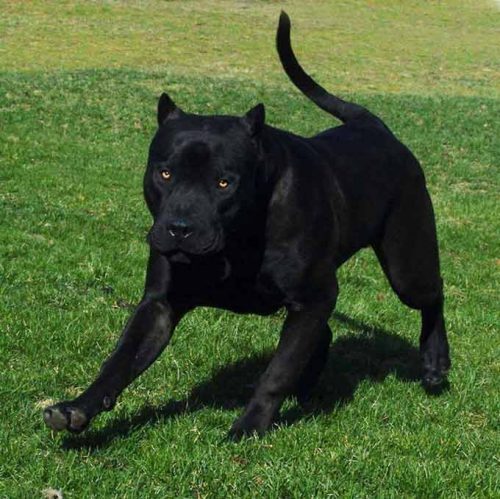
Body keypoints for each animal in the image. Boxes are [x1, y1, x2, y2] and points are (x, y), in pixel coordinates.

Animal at [43, 12, 450, 442]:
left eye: (224, 182)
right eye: (165, 173)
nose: (179, 228)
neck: (237, 240)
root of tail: (373, 126)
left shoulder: (314, 296)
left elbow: (275, 373)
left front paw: (249, 426)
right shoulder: (161, 304)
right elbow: (120, 360)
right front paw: (78, 408)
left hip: (408, 265)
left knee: (433, 295)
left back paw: (435, 361)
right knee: (322, 335)